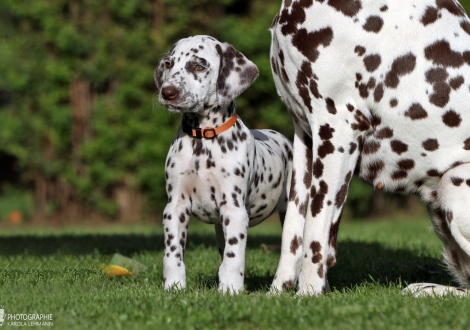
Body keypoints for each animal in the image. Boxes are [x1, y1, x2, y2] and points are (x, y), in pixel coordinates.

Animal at [154, 35, 294, 294]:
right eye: (168, 64)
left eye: (199, 66)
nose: (167, 92)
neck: (202, 140)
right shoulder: (175, 207)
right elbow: (172, 253)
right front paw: (174, 286)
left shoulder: (234, 210)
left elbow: (233, 256)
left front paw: (230, 289)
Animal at [270, 0, 470, 296]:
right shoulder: (305, 135)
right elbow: (293, 230)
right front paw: (277, 292)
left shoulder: (337, 128)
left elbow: (314, 231)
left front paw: (307, 294)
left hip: (453, 181)